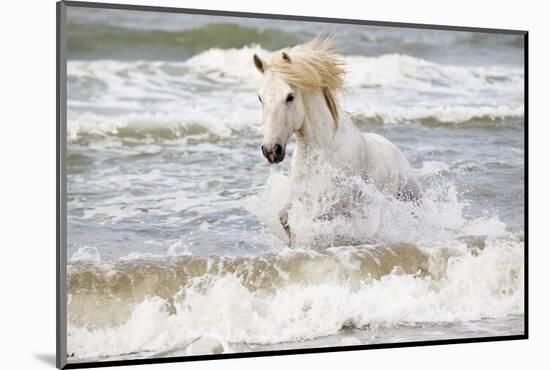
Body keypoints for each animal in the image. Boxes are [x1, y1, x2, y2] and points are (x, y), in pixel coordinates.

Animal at [254, 37, 422, 246]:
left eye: (289, 97)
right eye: (260, 97)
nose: (271, 150)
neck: (324, 151)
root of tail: (394, 150)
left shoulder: (340, 203)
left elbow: (319, 222)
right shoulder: (300, 195)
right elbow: (284, 218)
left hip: (411, 197)